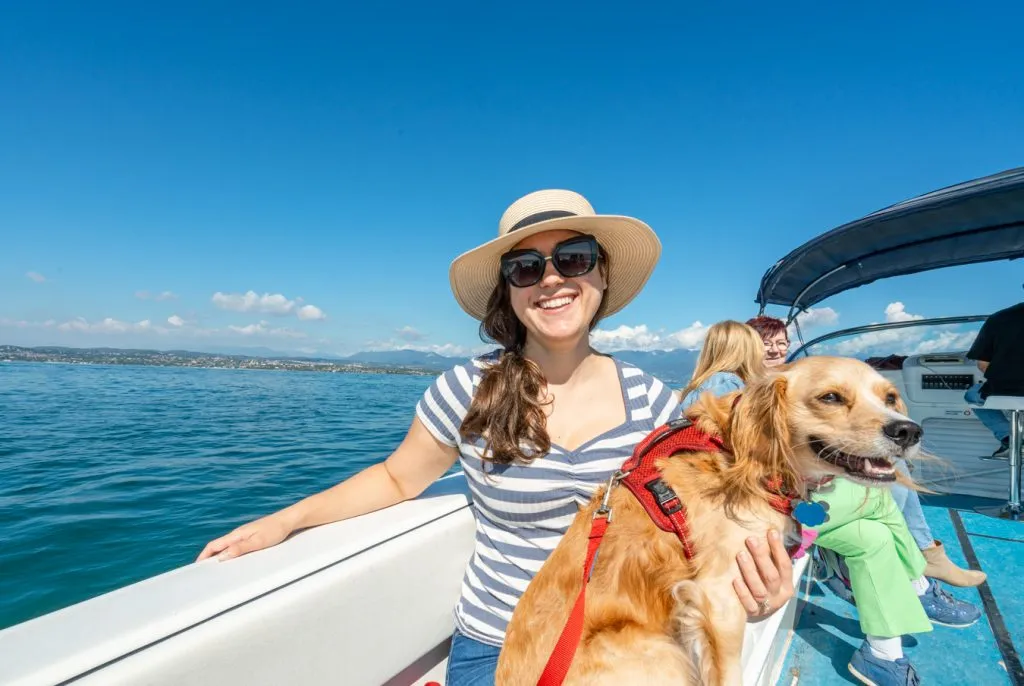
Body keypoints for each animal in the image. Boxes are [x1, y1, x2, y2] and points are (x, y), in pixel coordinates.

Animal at [493, 358, 921, 686]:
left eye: (889, 397)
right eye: (831, 397)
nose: (908, 430)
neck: (735, 451)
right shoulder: (719, 598)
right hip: (656, 649)